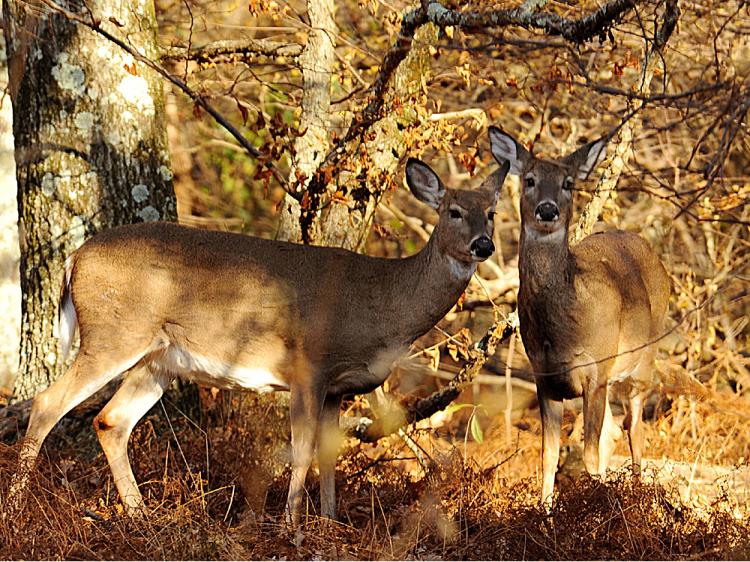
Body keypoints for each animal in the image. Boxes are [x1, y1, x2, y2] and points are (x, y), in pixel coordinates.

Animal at [4, 154, 512, 524]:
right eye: (453, 212)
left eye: (491, 213)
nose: (484, 245)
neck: (382, 302)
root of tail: (73, 259)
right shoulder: (308, 366)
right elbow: (302, 449)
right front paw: (291, 524)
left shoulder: (338, 386)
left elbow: (330, 455)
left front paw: (330, 522)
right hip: (113, 333)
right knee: (48, 402)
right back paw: (16, 508)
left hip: (157, 359)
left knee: (111, 420)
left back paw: (141, 514)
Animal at [490, 126, 672, 504]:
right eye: (529, 180)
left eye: (568, 183)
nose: (547, 210)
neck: (561, 331)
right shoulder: (543, 375)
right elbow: (548, 456)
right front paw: (544, 512)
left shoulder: (596, 369)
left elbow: (588, 453)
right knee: (613, 433)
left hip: (643, 360)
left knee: (635, 430)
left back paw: (638, 496)